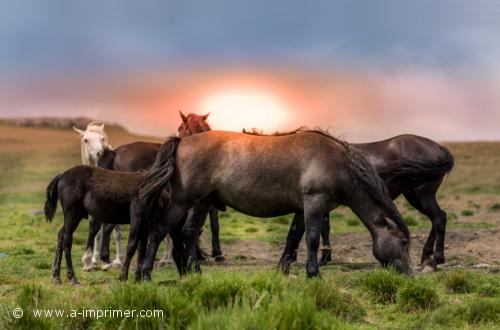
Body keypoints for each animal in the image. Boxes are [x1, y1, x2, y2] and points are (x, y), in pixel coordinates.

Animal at [43, 165, 187, 286]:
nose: (186, 274)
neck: (153, 192)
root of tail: (62, 176)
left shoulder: (145, 225)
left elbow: (142, 250)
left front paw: (138, 279)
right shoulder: (137, 218)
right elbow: (132, 246)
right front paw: (123, 276)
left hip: (75, 217)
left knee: (60, 236)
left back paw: (56, 277)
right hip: (71, 215)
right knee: (67, 241)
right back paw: (72, 278)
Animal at [138, 130, 414, 282]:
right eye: (402, 242)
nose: (411, 276)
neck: (338, 163)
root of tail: (181, 142)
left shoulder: (303, 210)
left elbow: (293, 239)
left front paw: (283, 272)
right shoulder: (314, 203)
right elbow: (312, 239)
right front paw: (314, 274)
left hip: (203, 203)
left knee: (189, 233)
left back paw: (194, 273)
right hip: (183, 201)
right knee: (160, 230)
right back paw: (145, 274)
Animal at [280, 134, 456, 270]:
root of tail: (439, 148)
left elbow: (320, 228)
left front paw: (322, 258)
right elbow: (323, 227)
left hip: (421, 196)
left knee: (439, 218)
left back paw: (436, 258)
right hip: (416, 197)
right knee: (438, 217)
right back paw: (427, 256)